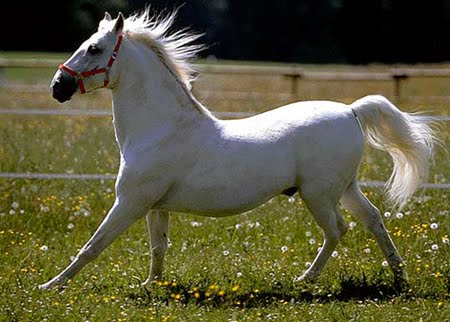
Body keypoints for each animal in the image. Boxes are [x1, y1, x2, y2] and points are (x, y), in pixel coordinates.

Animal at [41, 11, 436, 290]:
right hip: (346, 188)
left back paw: (305, 280)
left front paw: (51, 285)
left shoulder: (130, 203)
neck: (161, 129)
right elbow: (158, 248)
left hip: (319, 194)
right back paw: (399, 278)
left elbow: (92, 246)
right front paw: (152, 285)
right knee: (373, 219)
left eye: (94, 48)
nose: (57, 87)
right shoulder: (155, 206)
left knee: (337, 230)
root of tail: (351, 110)